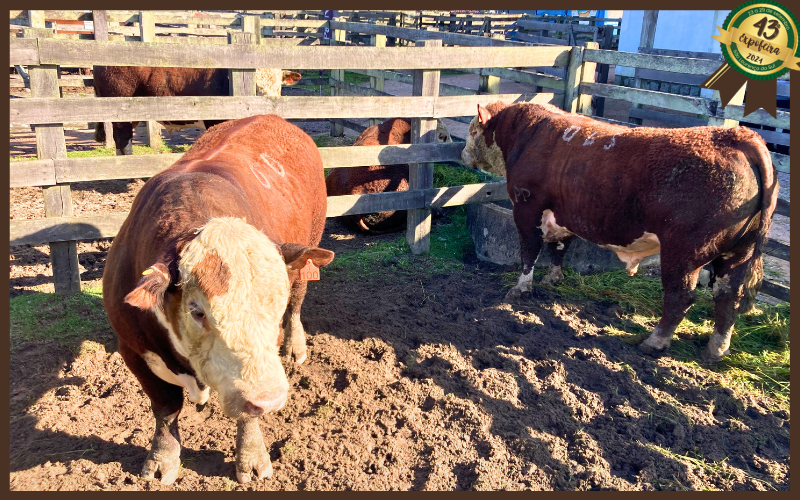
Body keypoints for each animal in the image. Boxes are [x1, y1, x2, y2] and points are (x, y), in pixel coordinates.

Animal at [104, 114, 334, 484]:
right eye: (197, 312)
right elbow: (165, 408)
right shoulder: (132, 350)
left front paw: (251, 457)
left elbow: (248, 412)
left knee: (299, 301)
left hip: (309, 246)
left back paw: (295, 346)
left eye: (275, 305)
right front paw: (162, 459)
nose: (271, 398)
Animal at [460, 101, 780, 364]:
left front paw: (520, 288)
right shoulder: (564, 213)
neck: (528, 135)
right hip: (738, 251)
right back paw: (715, 349)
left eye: (473, 130)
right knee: (727, 296)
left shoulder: (527, 209)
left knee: (680, 297)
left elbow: (529, 252)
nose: (462, 154)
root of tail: (737, 137)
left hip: (684, 251)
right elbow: (559, 248)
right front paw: (554, 278)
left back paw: (655, 342)